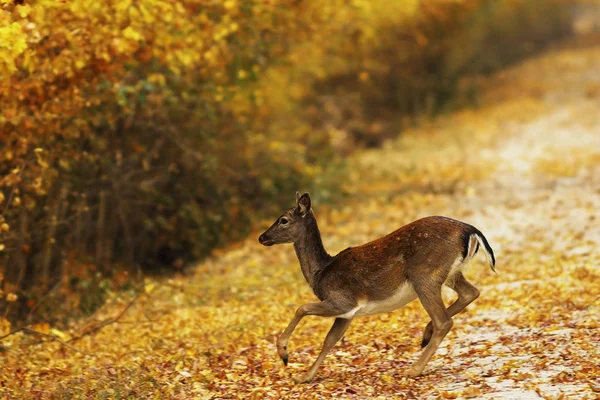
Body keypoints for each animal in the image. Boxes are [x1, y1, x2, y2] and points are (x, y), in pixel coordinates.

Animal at [258, 192, 496, 382]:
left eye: (283, 220)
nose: (262, 237)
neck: (321, 273)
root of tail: (471, 230)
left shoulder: (342, 300)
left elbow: (302, 308)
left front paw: (284, 355)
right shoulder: (347, 313)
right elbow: (330, 340)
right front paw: (305, 376)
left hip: (424, 276)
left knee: (444, 320)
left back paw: (413, 370)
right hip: (448, 274)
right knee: (470, 292)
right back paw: (425, 335)